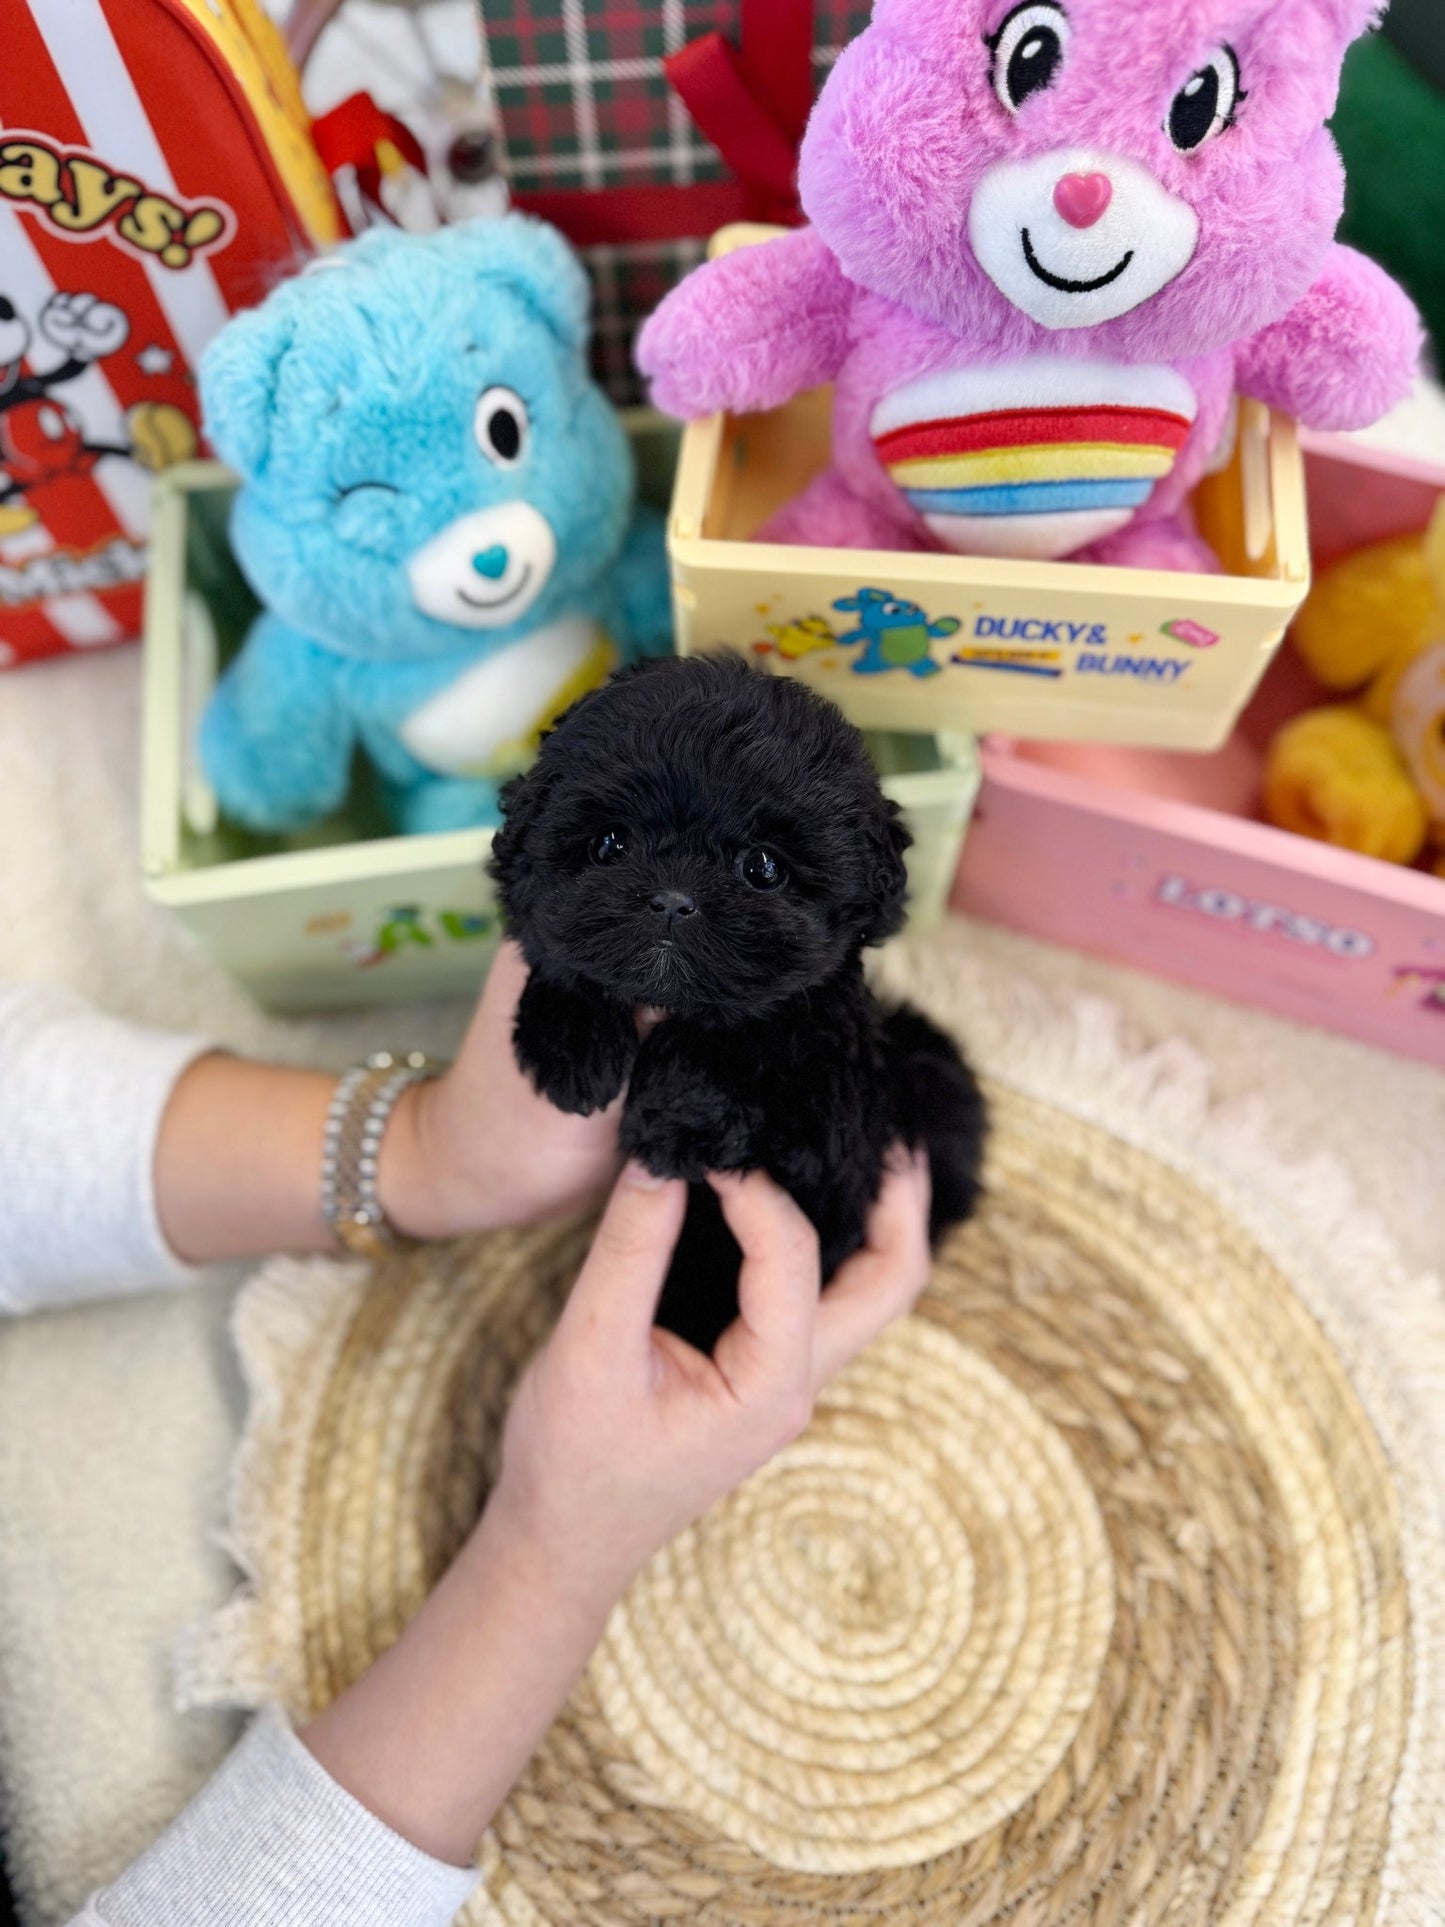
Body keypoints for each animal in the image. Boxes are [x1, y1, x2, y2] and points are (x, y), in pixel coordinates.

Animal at [493, 655, 994, 1348]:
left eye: (763, 867)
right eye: (609, 845)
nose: (672, 898)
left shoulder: (825, 1119)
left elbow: (753, 1030)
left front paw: (677, 1121)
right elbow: (558, 954)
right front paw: (571, 1043)